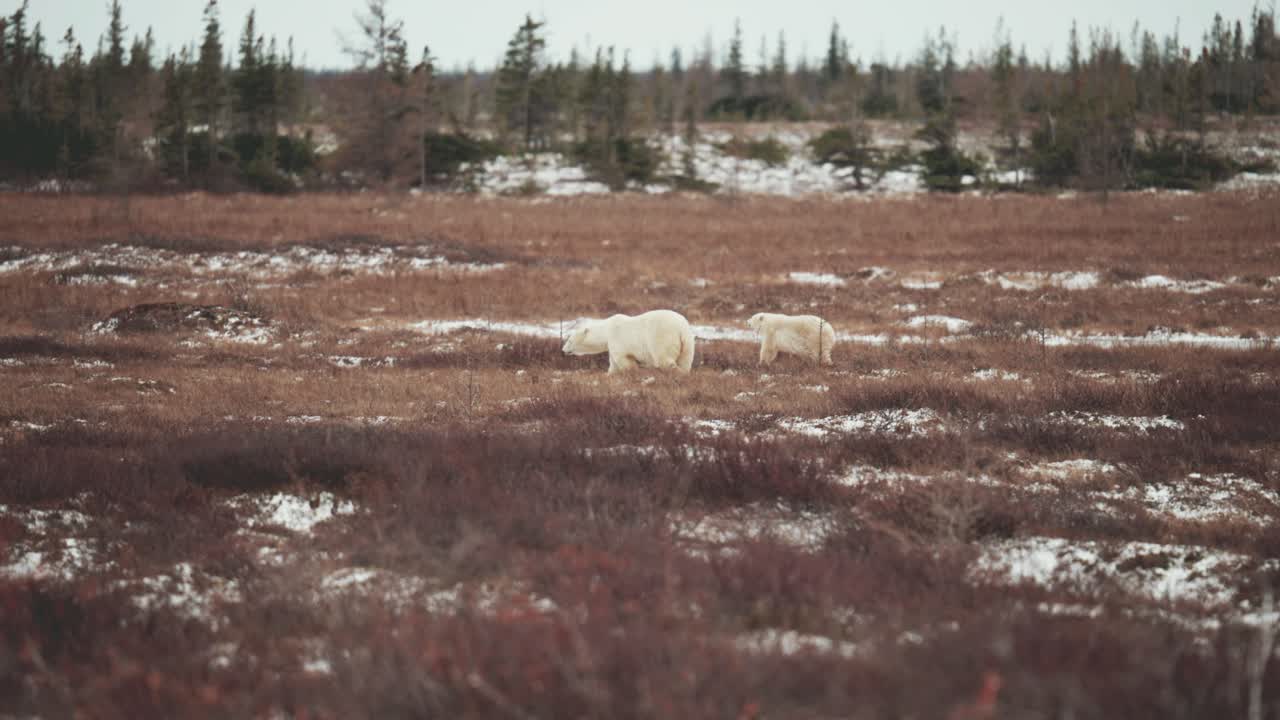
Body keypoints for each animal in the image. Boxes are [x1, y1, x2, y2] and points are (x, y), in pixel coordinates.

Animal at [562, 309, 695, 374]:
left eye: (569, 340)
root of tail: (680, 329)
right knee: (685, 362)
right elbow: (613, 366)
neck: (607, 330)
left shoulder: (617, 340)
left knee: (665, 360)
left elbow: (625, 361)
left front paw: (633, 373)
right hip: (688, 343)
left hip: (662, 336)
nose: (563, 350)